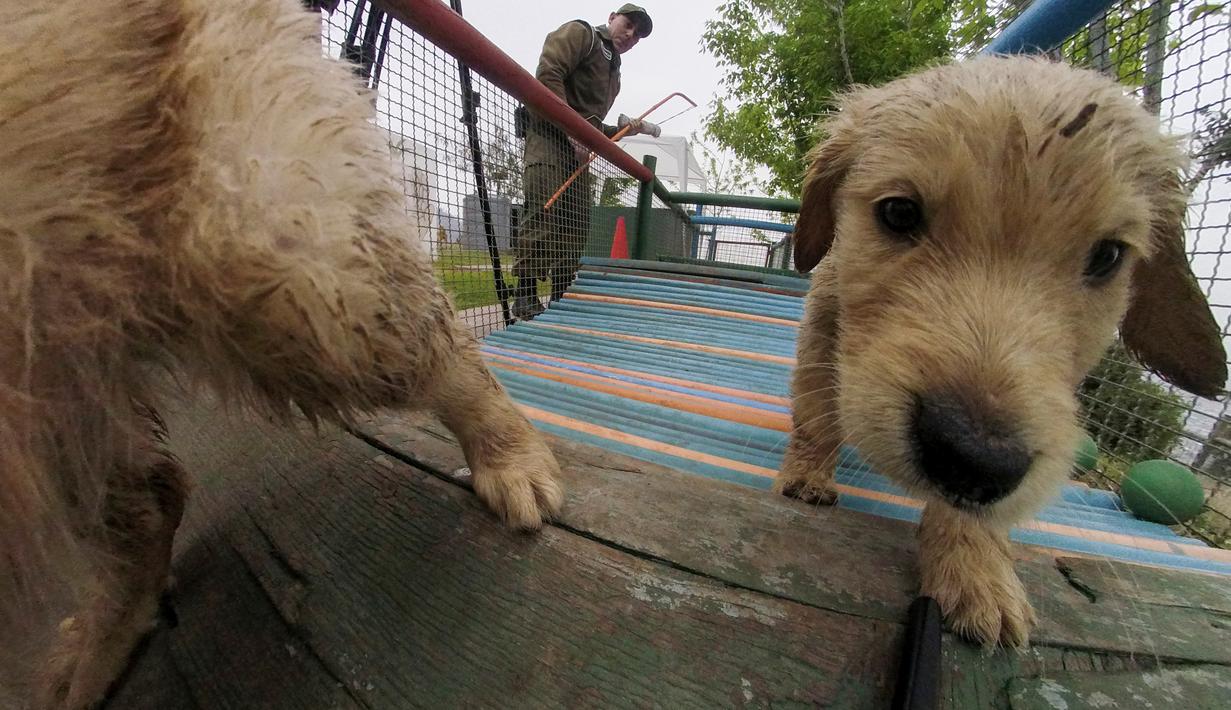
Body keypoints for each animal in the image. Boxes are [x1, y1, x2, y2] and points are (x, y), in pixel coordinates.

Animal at [773, 56, 1226, 649]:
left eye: (1108, 256)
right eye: (899, 212)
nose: (974, 457)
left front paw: (974, 566)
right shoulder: (826, 322)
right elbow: (818, 412)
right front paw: (807, 475)